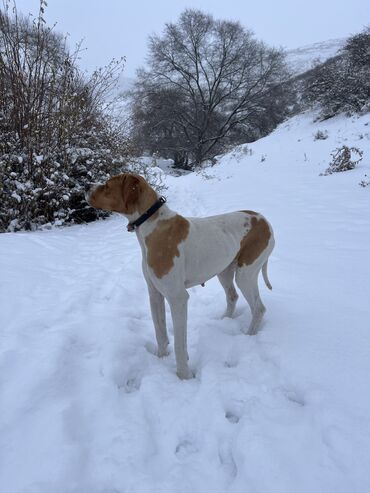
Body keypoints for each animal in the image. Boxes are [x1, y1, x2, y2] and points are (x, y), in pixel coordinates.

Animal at [84, 175, 274, 378]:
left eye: (107, 185)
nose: (86, 186)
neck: (152, 224)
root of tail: (265, 222)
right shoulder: (155, 295)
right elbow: (160, 333)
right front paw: (160, 359)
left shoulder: (178, 298)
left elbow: (179, 345)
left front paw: (184, 375)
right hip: (224, 271)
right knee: (232, 296)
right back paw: (224, 321)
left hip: (245, 275)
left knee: (259, 308)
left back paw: (249, 336)